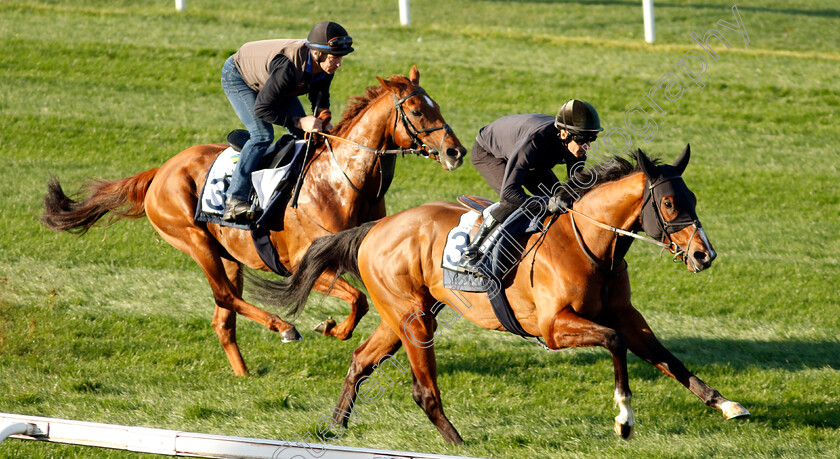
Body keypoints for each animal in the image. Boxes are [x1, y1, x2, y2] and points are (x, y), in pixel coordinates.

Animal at [39, 66, 466, 380]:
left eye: (438, 107)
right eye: (417, 111)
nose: (455, 151)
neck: (339, 182)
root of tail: (162, 169)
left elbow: (371, 301)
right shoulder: (304, 264)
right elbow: (358, 300)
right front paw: (330, 328)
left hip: (229, 255)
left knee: (222, 317)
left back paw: (243, 373)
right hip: (194, 241)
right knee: (225, 297)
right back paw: (283, 327)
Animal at [262, 146, 748, 442]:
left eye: (693, 198)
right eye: (668, 204)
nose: (704, 254)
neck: (589, 243)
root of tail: (374, 228)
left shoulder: (627, 315)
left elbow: (667, 358)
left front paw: (727, 405)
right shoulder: (553, 327)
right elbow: (614, 343)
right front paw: (623, 419)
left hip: (401, 315)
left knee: (361, 361)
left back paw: (336, 427)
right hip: (415, 318)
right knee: (423, 389)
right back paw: (457, 441)